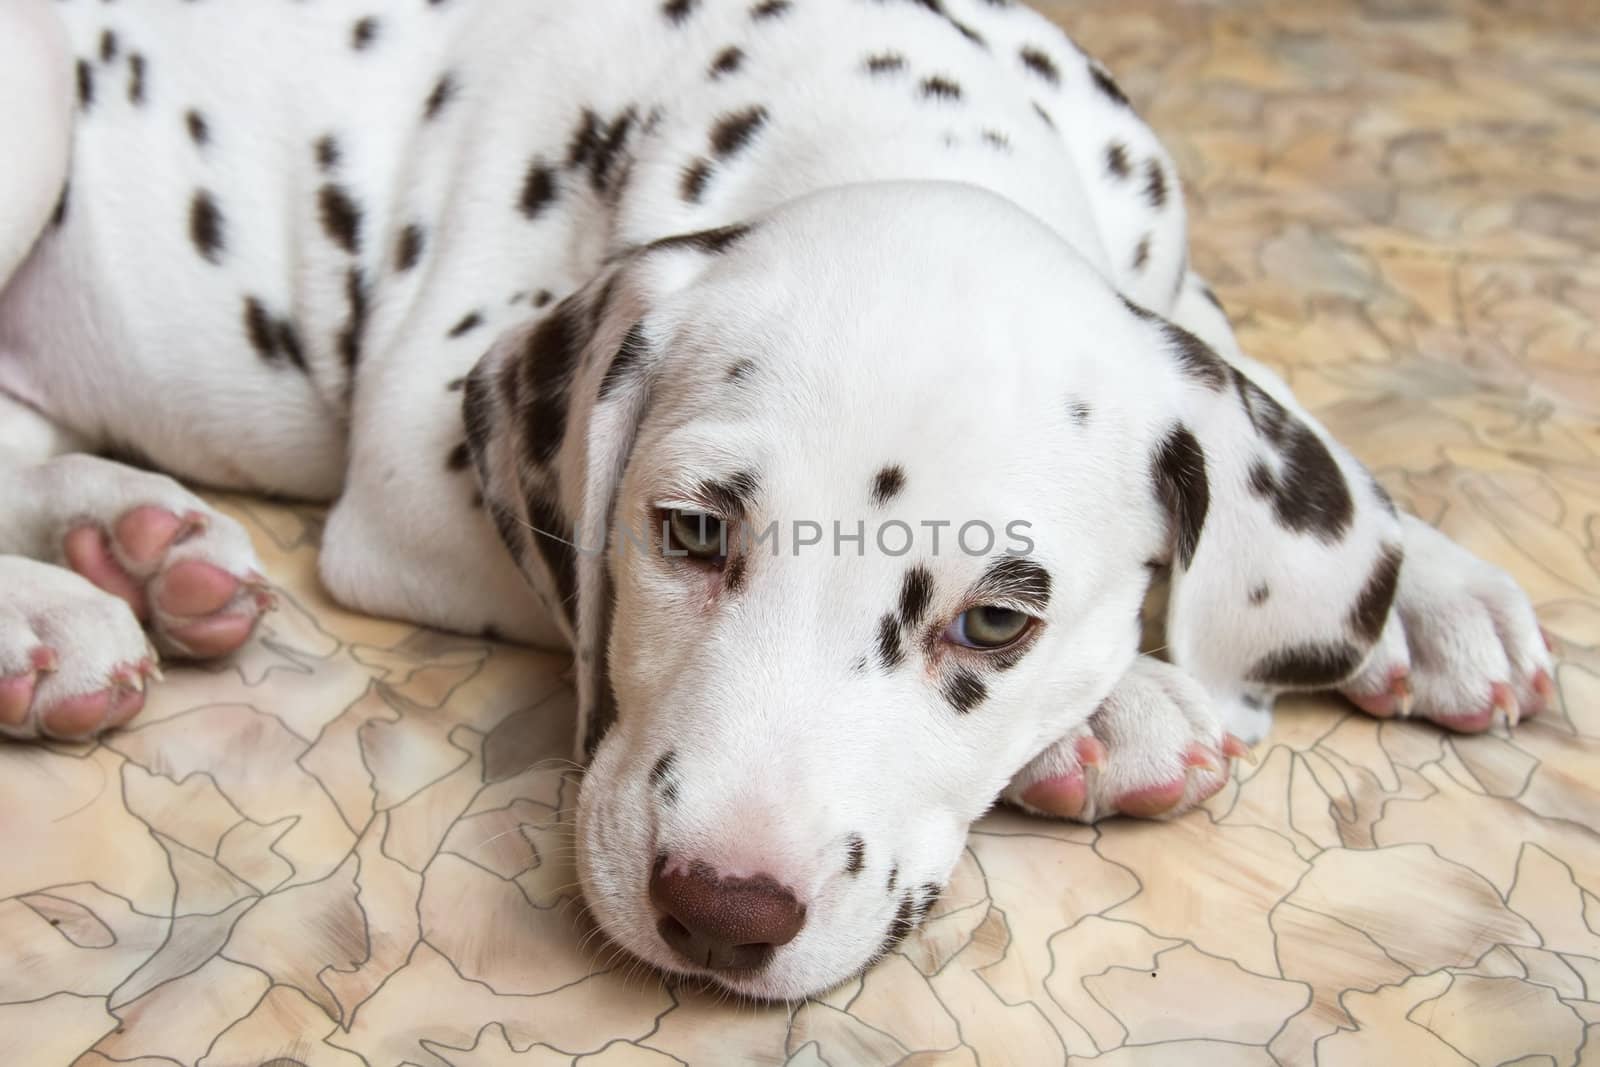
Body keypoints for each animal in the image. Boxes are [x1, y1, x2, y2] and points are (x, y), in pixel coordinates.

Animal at [0, 0, 1548, 1004]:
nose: (719, 909)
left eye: (996, 620)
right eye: (691, 529)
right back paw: (54, 617)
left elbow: (1270, 401)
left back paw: (138, 544)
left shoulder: (1173, 280)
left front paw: (1427, 593)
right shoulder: (408, 472)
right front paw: (1120, 709)